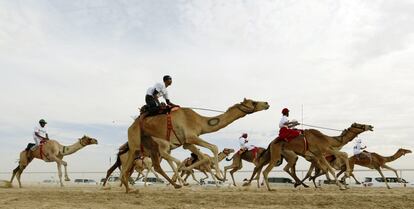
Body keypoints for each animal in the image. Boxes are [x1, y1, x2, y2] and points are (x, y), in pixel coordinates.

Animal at [121, 98, 270, 193]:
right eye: (253, 102)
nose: (267, 103)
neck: (199, 121)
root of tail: (131, 126)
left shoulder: (187, 142)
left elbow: (202, 157)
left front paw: (215, 177)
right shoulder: (191, 136)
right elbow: (213, 147)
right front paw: (219, 176)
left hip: (147, 148)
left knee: (147, 166)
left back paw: (131, 188)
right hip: (136, 144)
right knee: (130, 166)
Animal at [244, 122, 374, 191]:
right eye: (360, 125)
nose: (370, 126)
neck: (327, 139)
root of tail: (271, 143)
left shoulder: (319, 155)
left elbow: (339, 158)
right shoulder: (320, 153)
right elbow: (330, 168)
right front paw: (341, 185)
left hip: (276, 155)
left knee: (261, 166)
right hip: (277, 155)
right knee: (266, 170)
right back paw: (270, 188)